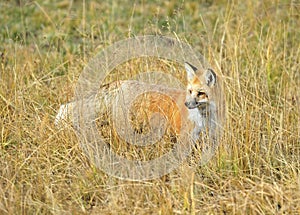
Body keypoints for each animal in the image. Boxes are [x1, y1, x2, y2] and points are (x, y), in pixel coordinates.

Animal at [55, 61, 221, 146]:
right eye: (190, 91)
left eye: (200, 93)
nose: (187, 104)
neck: (204, 118)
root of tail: (124, 82)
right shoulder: (185, 140)